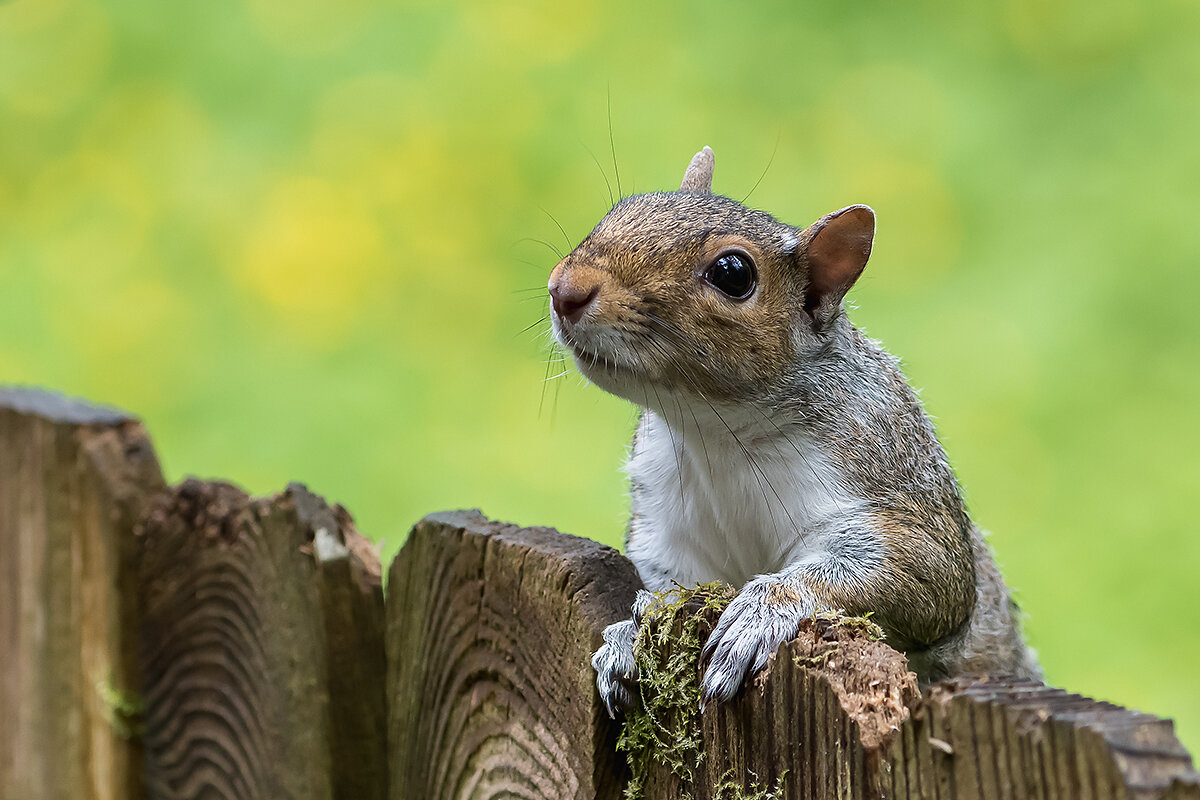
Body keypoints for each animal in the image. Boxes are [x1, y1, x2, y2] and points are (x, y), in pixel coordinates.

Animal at [547, 146, 1041, 714]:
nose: (564, 288)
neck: (717, 432)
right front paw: (629, 633)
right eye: (624, 207)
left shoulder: (884, 476)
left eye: (733, 273)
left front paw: (763, 610)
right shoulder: (670, 526)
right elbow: (672, 586)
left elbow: (921, 574)